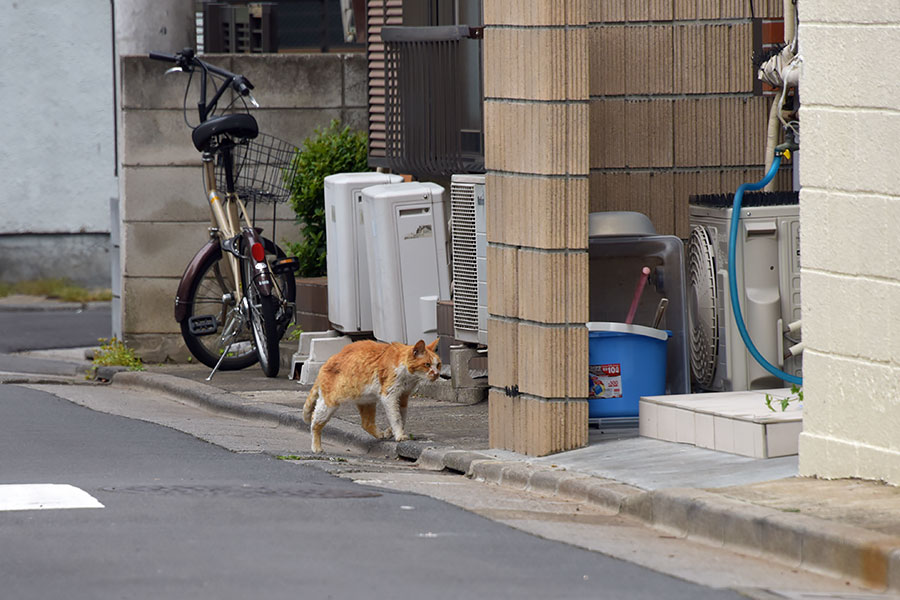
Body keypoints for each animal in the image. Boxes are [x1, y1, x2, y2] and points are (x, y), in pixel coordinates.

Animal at [304, 340, 442, 452]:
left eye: (438, 364)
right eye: (427, 365)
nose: (437, 374)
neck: (409, 377)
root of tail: (326, 363)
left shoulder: (403, 397)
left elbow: (402, 417)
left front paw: (392, 432)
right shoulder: (389, 396)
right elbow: (396, 418)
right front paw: (399, 435)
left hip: (367, 401)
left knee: (366, 423)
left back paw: (382, 434)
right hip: (329, 404)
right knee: (314, 420)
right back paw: (316, 447)